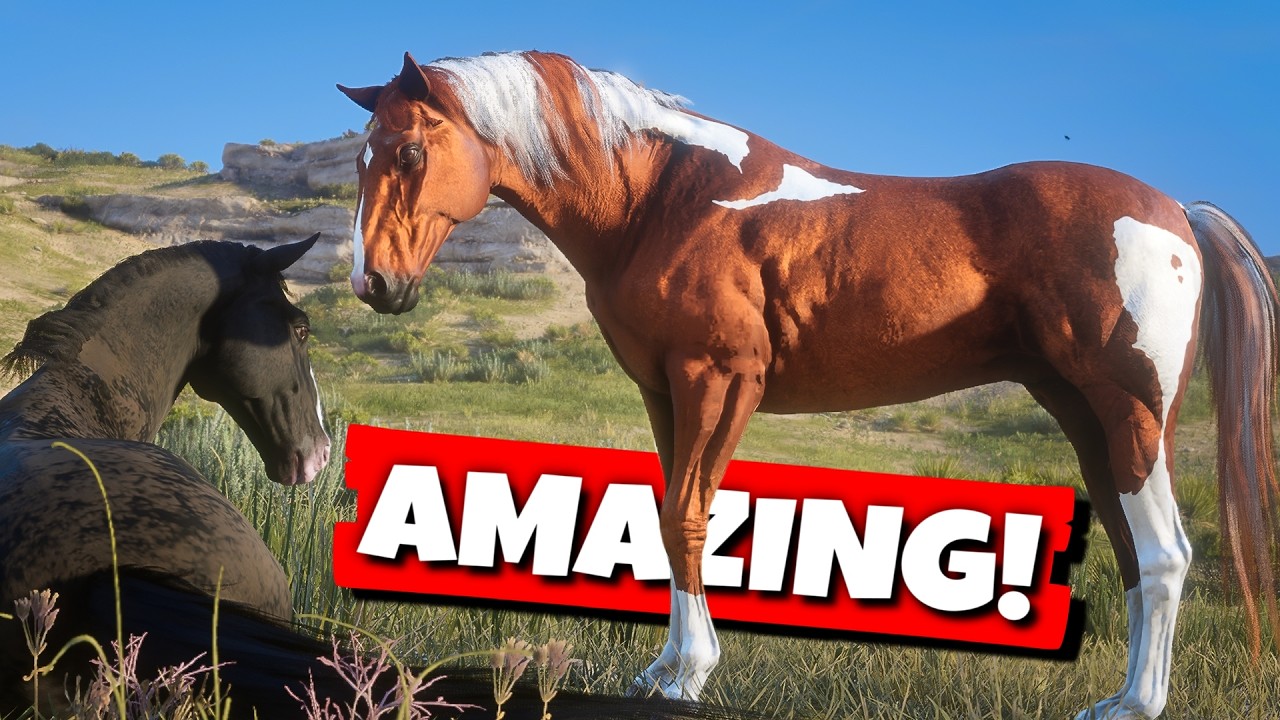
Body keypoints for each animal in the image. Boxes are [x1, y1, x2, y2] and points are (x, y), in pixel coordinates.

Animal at [337, 50, 1280, 719]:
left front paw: (689, 678)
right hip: (1087, 418)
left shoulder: (720, 380)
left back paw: (1138, 706)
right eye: (361, 158)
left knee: (1164, 554)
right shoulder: (664, 393)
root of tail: (1175, 212)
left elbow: (687, 517)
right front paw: (664, 669)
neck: (664, 198)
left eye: (410, 149)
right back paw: (1119, 698)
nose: (373, 284)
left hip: (1128, 414)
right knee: (1132, 552)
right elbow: (670, 518)